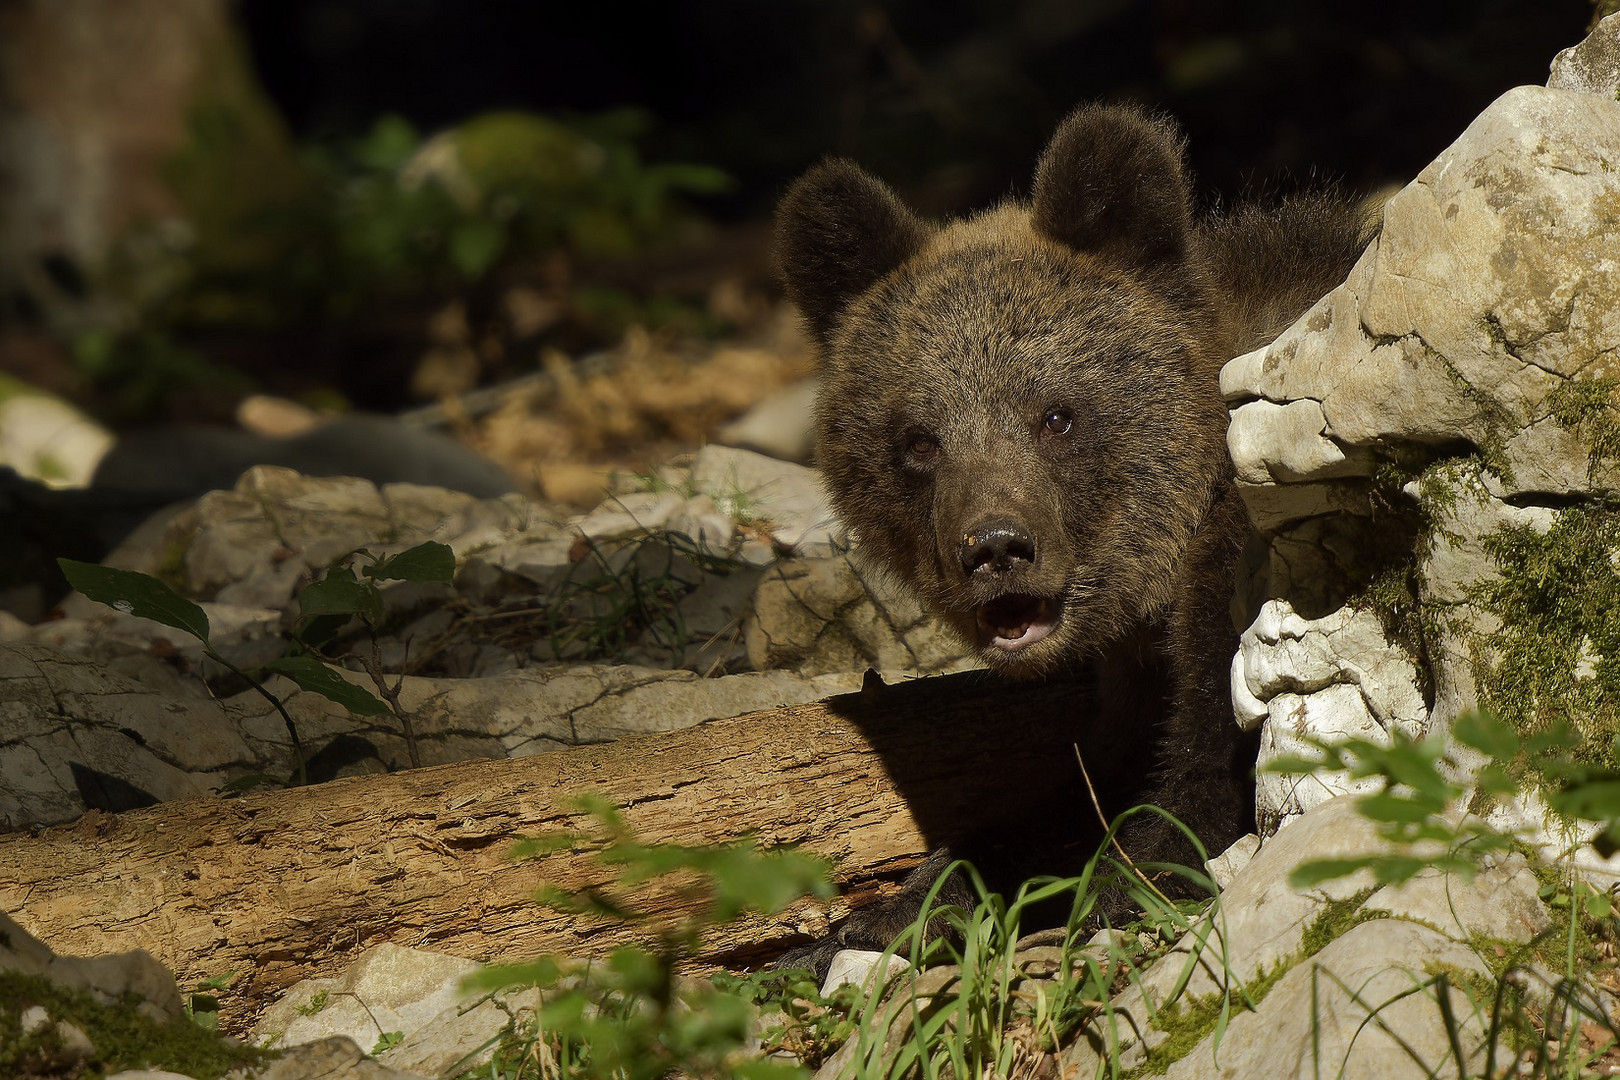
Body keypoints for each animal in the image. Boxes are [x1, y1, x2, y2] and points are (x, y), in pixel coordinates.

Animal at [771, 105, 1367, 952]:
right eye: (919, 440)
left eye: (1056, 415)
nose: (995, 549)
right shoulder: (1128, 676)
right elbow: (1080, 789)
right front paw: (889, 911)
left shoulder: (1242, 575)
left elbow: (1199, 781)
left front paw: (1112, 889)